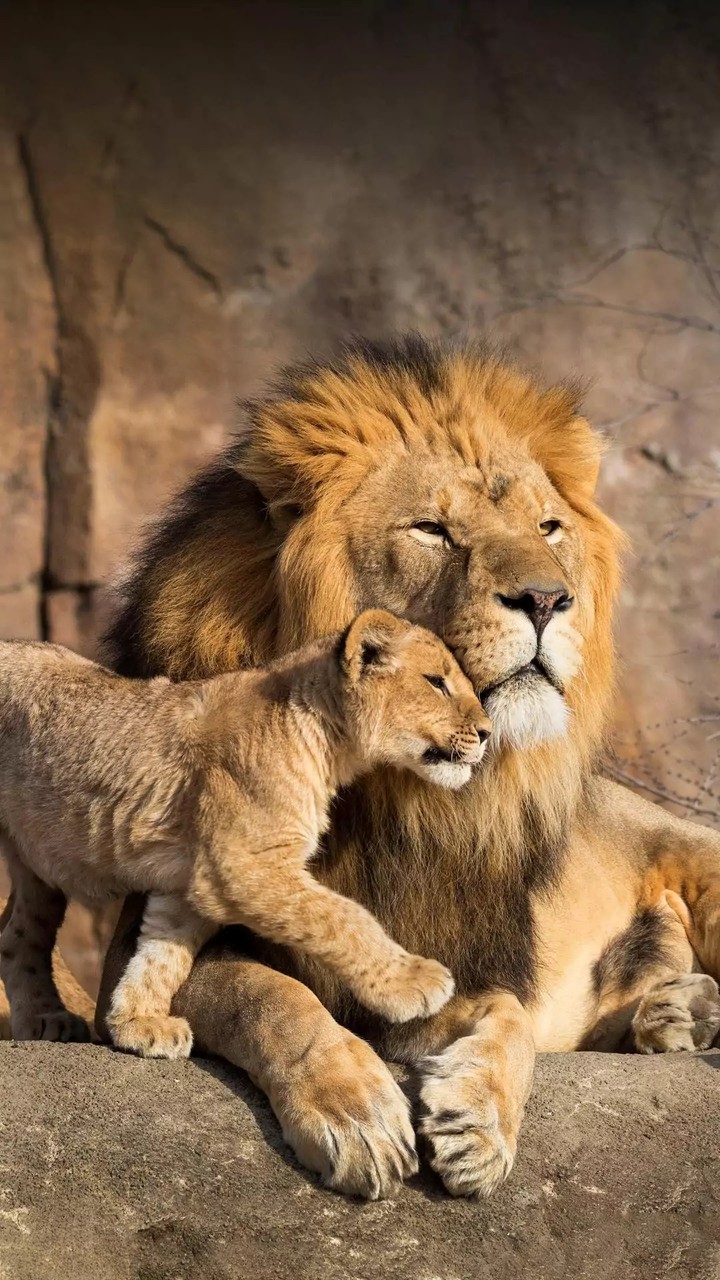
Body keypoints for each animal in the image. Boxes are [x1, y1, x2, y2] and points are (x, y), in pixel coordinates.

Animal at [0, 613, 489, 1051]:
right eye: (436, 682)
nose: (486, 733)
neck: (324, 741)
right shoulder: (240, 867)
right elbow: (344, 917)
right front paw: (412, 983)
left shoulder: (194, 882)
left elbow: (163, 954)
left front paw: (138, 1023)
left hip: (35, 869)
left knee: (18, 935)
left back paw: (48, 1020)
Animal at [94, 334, 720, 1201]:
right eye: (432, 529)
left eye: (549, 526)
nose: (547, 600)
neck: (402, 787)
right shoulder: (134, 953)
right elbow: (273, 995)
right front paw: (355, 1111)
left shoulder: (458, 946)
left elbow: (507, 1013)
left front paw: (478, 1122)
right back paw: (672, 1016)